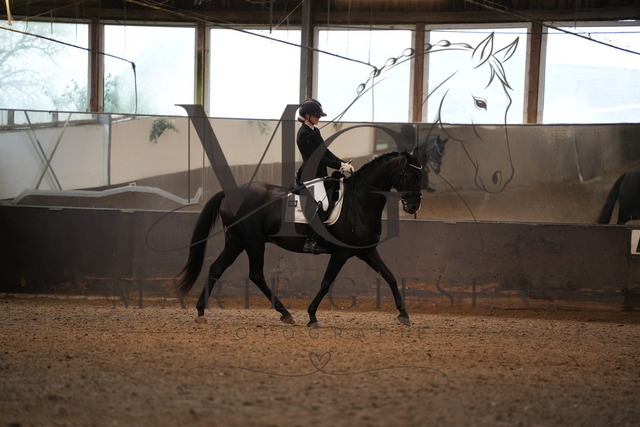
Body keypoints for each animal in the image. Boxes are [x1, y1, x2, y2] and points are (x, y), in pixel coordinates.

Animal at [176, 151, 423, 327]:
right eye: (411, 175)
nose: (413, 207)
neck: (358, 203)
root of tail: (229, 193)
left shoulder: (366, 250)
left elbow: (390, 276)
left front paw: (404, 314)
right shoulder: (342, 252)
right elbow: (326, 282)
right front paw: (312, 316)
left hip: (236, 242)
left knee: (216, 269)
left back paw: (201, 312)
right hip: (253, 242)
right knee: (256, 275)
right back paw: (285, 313)